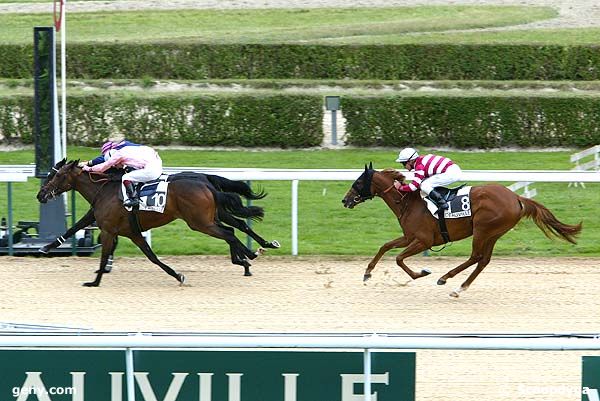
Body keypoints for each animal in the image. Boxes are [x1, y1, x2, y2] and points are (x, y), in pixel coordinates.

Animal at [38, 158, 278, 286]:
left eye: (56, 176)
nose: (41, 195)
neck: (104, 189)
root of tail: (206, 183)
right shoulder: (130, 231)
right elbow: (151, 256)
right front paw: (47, 247)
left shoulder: (109, 230)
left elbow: (106, 253)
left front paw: (95, 281)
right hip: (211, 217)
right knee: (236, 227)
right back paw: (255, 252)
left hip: (200, 222)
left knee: (230, 233)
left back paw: (248, 257)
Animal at [344, 163, 584, 296]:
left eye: (358, 182)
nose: (345, 200)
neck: (408, 202)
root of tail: (516, 197)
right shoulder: (409, 236)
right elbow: (385, 246)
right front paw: (367, 273)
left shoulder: (423, 240)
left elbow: (399, 258)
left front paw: (421, 273)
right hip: (494, 233)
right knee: (483, 260)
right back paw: (459, 288)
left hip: (482, 229)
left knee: (476, 256)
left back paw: (445, 278)